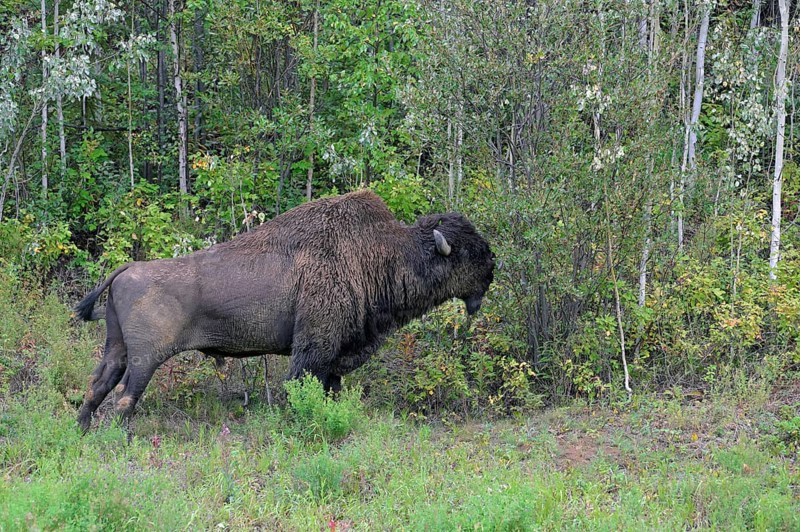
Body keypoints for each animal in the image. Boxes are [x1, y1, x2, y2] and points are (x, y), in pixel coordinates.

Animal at [75, 190, 495, 430]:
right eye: (467, 253)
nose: (492, 268)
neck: (379, 254)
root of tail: (129, 269)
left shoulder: (333, 358)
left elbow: (330, 389)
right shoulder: (314, 349)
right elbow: (299, 385)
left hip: (117, 348)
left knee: (97, 386)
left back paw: (82, 431)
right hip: (146, 359)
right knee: (125, 396)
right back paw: (118, 439)